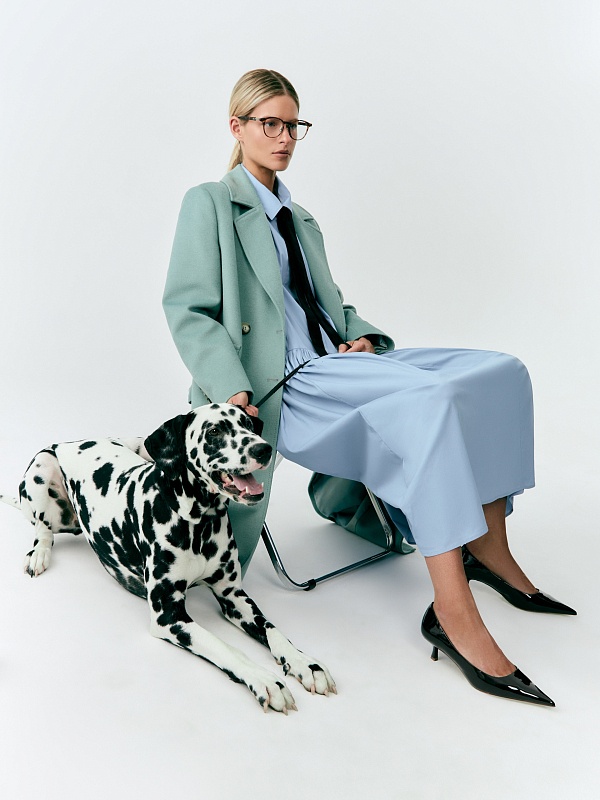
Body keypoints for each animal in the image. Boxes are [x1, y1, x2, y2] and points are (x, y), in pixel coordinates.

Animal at [0, 403, 335, 713]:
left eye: (248, 424)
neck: (198, 522)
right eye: (215, 431)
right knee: (42, 528)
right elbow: (225, 647)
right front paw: (265, 680)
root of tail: (70, 442)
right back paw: (38, 554)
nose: (262, 448)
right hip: (43, 470)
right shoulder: (169, 617)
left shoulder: (233, 595)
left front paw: (305, 663)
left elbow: (273, 631)